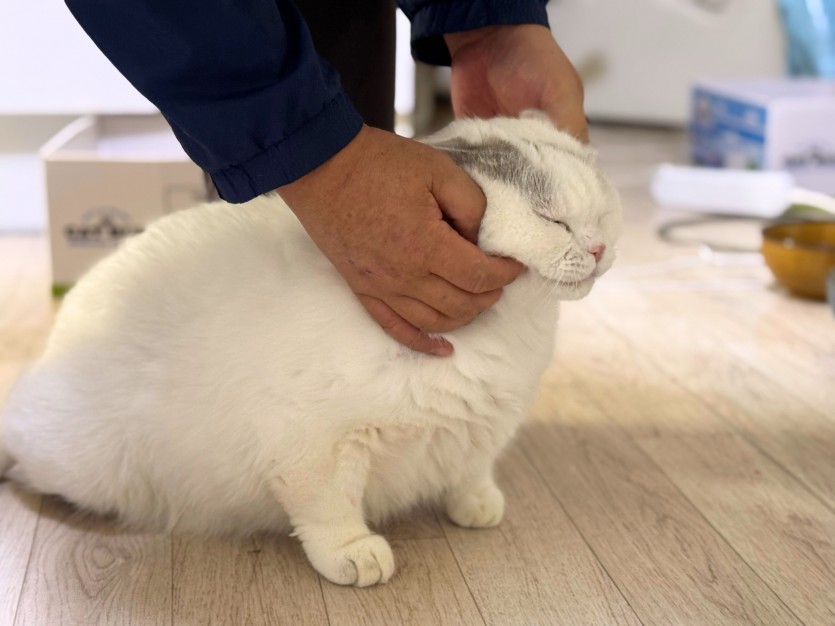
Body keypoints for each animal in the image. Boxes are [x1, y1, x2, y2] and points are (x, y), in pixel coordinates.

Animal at [0, 111, 622, 587]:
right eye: (553, 220)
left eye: (603, 213)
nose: (597, 247)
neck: (509, 329)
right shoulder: (313, 445)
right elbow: (329, 511)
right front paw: (353, 553)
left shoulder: (484, 425)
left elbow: (471, 468)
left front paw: (475, 502)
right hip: (88, 460)